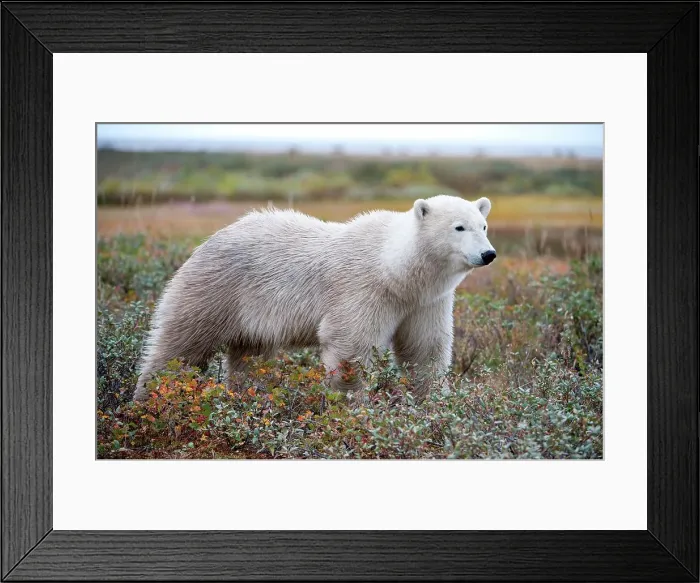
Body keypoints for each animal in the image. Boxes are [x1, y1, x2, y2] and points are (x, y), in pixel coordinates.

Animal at [133, 195, 496, 402]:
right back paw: (150, 398)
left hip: (251, 313)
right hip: (217, 289)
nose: (488, 254)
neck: (397, 272)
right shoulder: (364, 290)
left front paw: (433, 407)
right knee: (181, 345)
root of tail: (212, 237)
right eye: (459, 227)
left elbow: (425, 350)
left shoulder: (426, 301)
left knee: (250, 356)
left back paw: (249, 398)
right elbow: (351, 349)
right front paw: (351, 410)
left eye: (483, 225)